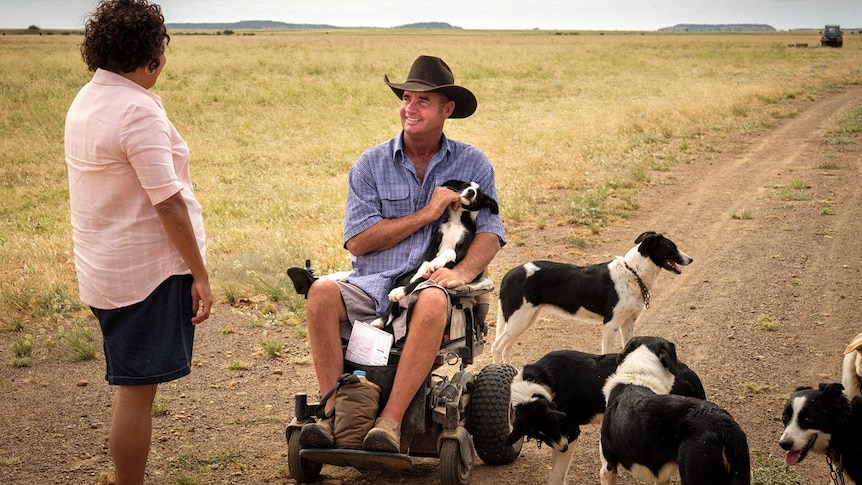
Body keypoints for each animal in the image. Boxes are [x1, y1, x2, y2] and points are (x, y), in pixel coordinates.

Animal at [370, 181, 500, 328]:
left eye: (479, 194)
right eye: (466, 185)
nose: (471, 192)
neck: (456, 221)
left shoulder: (462, 249)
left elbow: (448, 252)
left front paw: (436, 263)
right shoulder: (435, 241)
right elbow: (425, 263)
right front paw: (423, 269)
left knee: (415, 284)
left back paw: (399, 292)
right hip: (400, 279)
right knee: (396, 302)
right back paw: (381, 320)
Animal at [492, 232, 696, 364]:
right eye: (671, 247)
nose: (691, 259)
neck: (633, 273)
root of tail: (508, 275)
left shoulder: (628, 323)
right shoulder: (611, 325)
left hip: (524, 320)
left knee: (507, 347)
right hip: (519, 319)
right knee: (497, 346)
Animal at [506, 338, 708, 482]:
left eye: (554, 424)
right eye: (538, 435)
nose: (563, 448)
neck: (540, 382)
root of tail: (688, 374)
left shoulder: (570, 433)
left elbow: (557, 475)